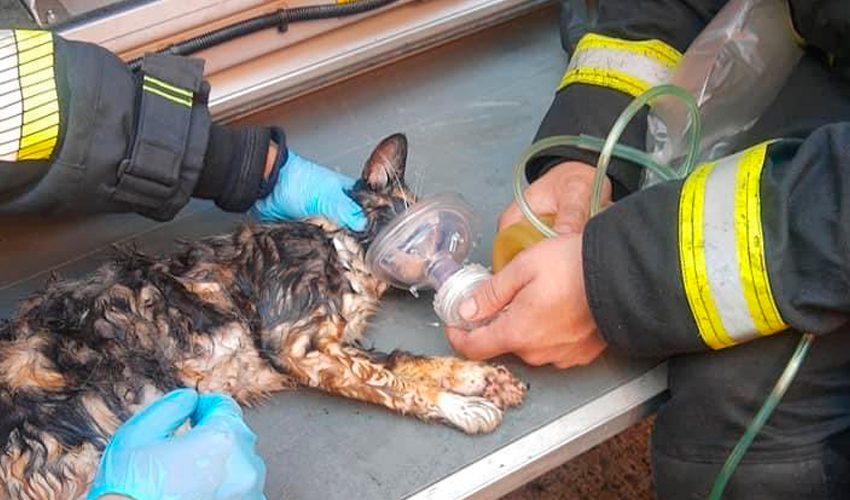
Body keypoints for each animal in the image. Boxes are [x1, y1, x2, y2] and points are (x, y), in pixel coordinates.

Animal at [0, 134, 524, 500]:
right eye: (409, 214)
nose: (450, 249)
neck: (339, 243)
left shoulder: (332, 345)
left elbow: (403, 360)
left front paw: (480, 378)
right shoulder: (300, 347)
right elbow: (393, 382)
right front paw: (461, 405)